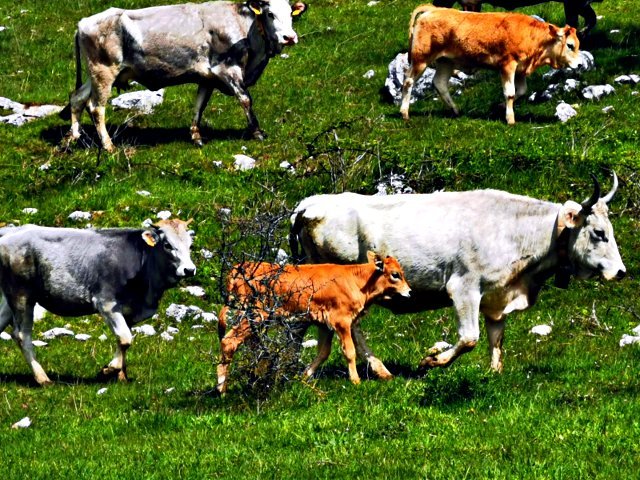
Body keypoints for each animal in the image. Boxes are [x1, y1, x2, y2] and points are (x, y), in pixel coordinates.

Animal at [0, 219, 196, 384]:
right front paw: (108, 370)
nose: (189, 269)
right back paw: (43, 378)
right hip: (21, 295)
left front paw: (122, 376)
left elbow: (123, 341)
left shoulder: (129, 311)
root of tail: (11, 230)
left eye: (190, 245)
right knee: (21, 335)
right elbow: (125, 339)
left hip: (8, 298)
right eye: (167, 245)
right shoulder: (106, 303)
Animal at [60, 0, 308, 152]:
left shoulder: (207, 77)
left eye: (290, 14)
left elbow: (199, 105)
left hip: (94, 75)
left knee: (77, 98)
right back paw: (109, 146)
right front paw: (257, 132)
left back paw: (73, 137)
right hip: (104, 71)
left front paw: (196, 136)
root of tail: (83, 22)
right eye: (270, 14)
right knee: (96, 108)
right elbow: (246, 99)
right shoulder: (228, 69)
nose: (289, 37)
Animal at [216, 253, 410, 392]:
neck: (357, 281)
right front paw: (355, 380)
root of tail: (238, 268)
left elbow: (323, 352)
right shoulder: (341, 321)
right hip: (255, 315)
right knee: (229, 341)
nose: (409, 291)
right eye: (395, 274)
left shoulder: (324, 324)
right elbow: (350, 351)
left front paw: (303, 376)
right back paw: (221, 389)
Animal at [290, 174, 624, 376]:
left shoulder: (496, 297)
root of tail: (310, 204)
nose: (621, 272)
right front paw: (432, 360)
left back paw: (310, 370)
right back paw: (379, 368)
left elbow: (496, 338)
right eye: (598, 232)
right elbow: (469, 337)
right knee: (351, 327)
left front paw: (494, 373)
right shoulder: (463, 288)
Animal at [402, 5, 584, 124]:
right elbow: (510, 93)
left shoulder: (520, 69)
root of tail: (432, 10)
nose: (580, 65)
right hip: (421, 59)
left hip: (446, 61)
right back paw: (404, 113)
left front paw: (499, 107)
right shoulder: (507, 65)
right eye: (570, 45)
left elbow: (521, 91)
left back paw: (454, 110)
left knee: (439, 83)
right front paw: (510, 119)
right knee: (408, 81)